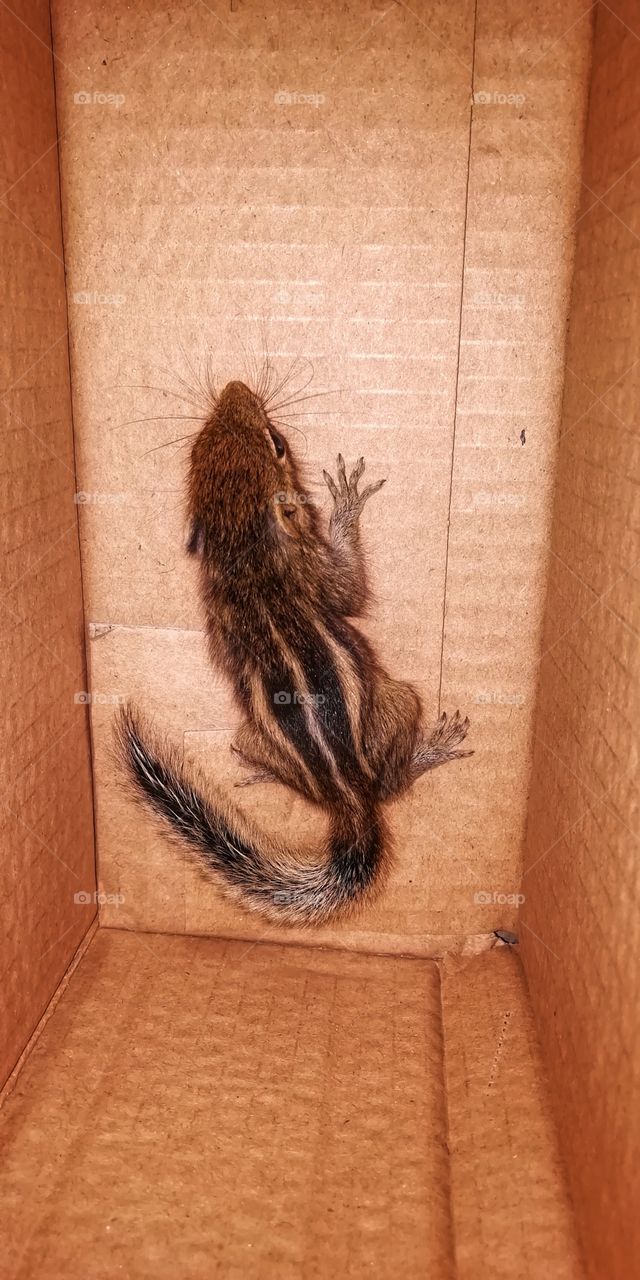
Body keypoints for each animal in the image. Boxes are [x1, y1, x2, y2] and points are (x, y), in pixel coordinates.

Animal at [117, 380, 472, 923]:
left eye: (196, 447)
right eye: (278, 443)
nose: (235, 387)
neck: (242, 545)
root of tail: (347, 798)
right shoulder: (315, 569)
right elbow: (350, 591)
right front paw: (345, 504)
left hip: (247, 732)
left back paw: (260, 770)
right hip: (399, 704)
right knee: (394, 783)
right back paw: (430, 749)